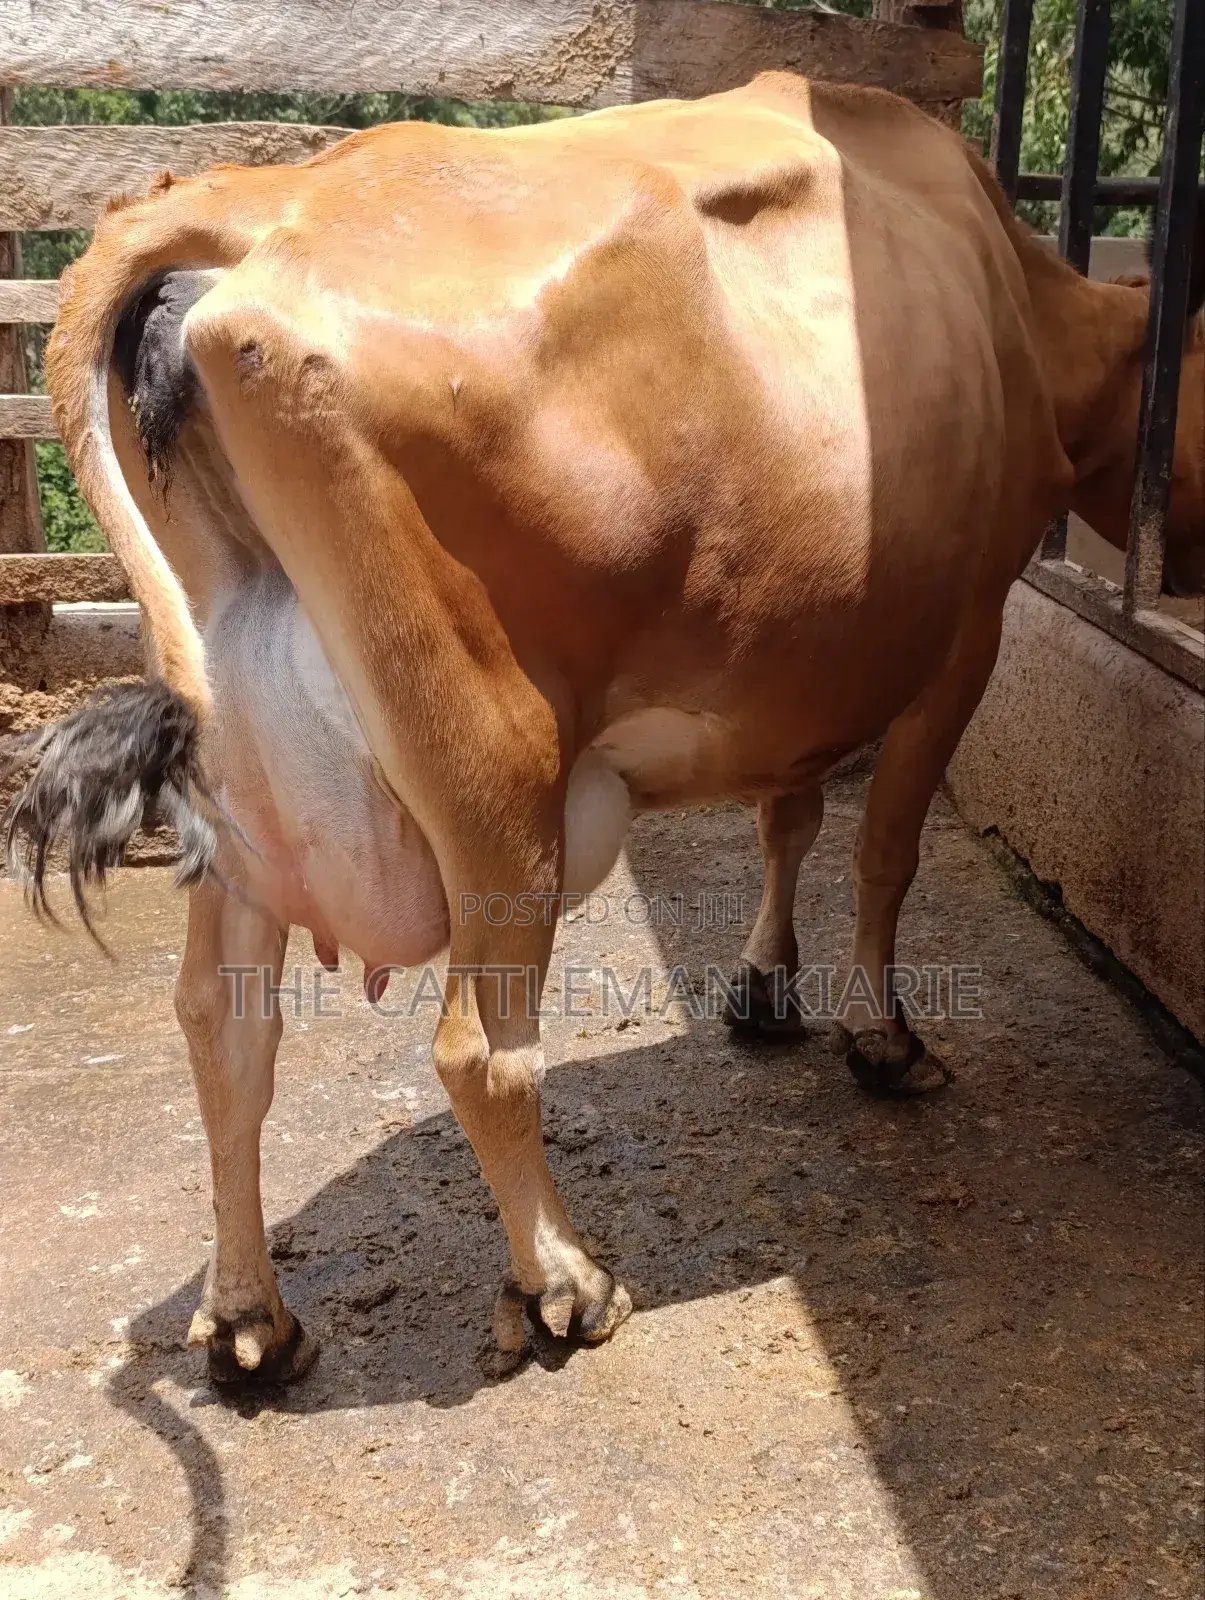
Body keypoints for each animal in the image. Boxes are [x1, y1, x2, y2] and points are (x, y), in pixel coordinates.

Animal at [5, 73, 1203, 1386]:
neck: (1014, 297)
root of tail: (242, 206)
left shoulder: (793, 665)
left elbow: (787, 814)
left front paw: (764, 988)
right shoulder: (966, 632)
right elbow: (884, 850)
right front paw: (883, 1040)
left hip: (249, 785)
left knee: (225, 1030)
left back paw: (250, 1319)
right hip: (497, 768)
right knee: (479, 1050)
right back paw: (562, 1283)